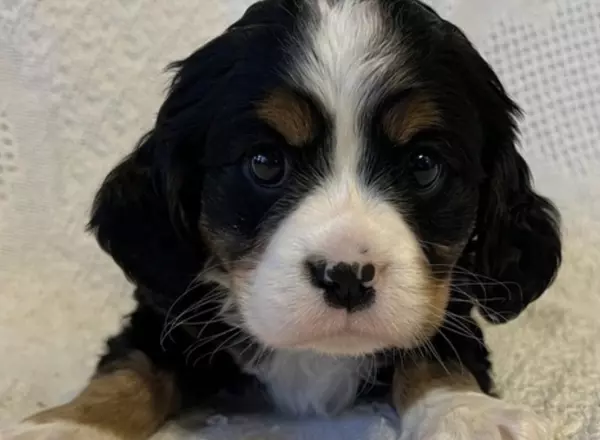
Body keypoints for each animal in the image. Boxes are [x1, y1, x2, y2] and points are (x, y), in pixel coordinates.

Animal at [5, 0, 564, 440]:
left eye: (424, 165)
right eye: (265, 162)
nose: (346, 277)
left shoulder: (448, 303)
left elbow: (437, 350)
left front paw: (469, 414)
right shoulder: (168, 311)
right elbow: (129, 369)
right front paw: (67, 425)